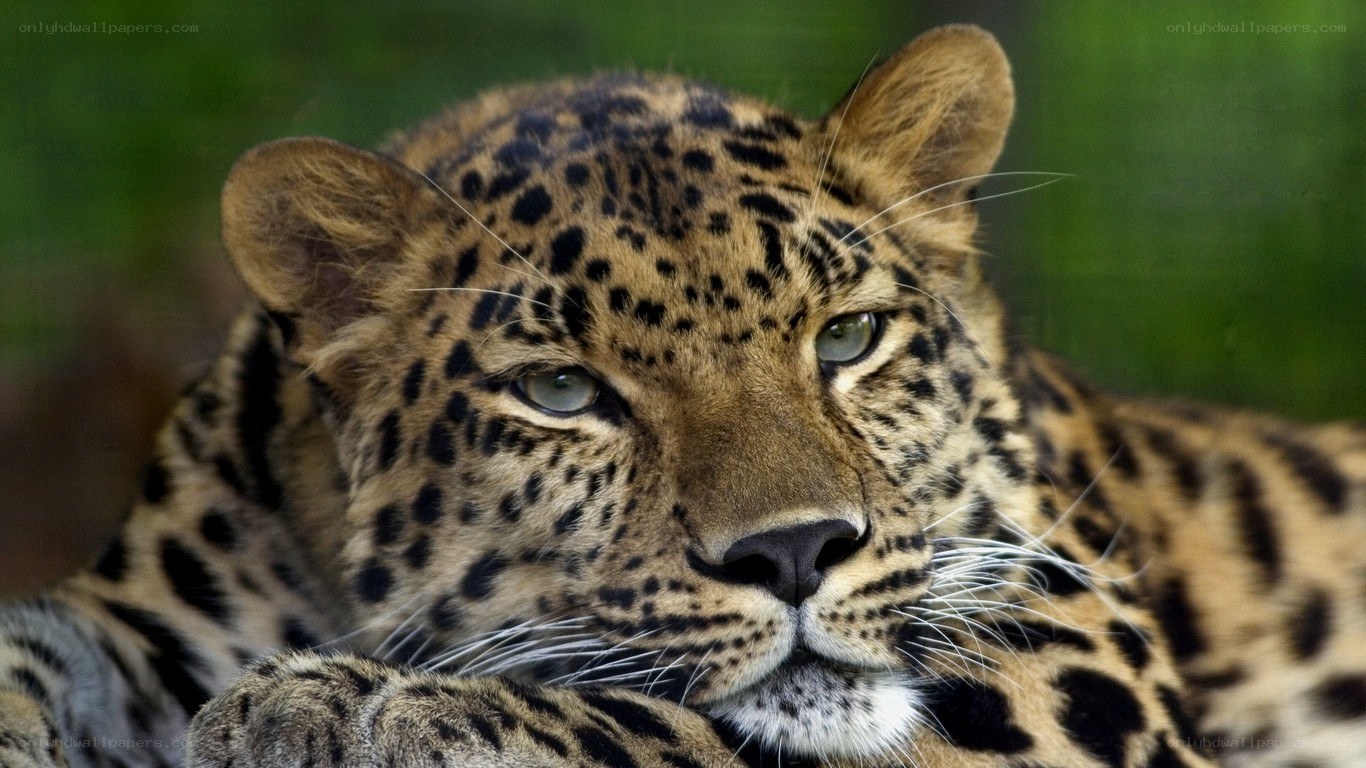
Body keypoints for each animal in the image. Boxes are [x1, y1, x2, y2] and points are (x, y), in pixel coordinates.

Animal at [1, 23, 1363, 768]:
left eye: (846, 336)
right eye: (562, 392)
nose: (796, 552)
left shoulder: (1070, 664)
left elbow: (678, 725)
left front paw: (346, 710)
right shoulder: (141, 614)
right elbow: (33, 647)